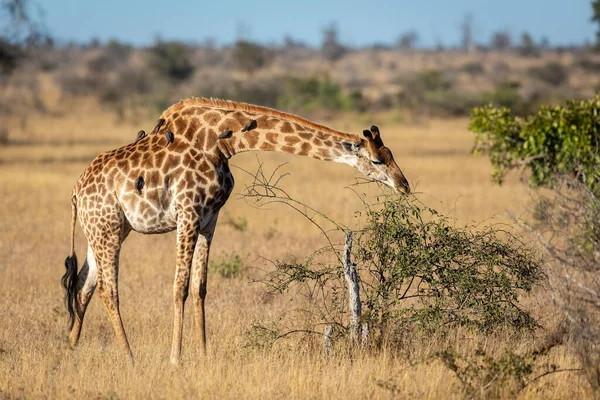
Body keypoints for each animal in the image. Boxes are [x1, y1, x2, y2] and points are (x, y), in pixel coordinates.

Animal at [62, 97, 408, 366]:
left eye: (391, 154)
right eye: (377, 160)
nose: (403, 185)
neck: (222, 143)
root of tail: (76, 192)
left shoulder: (209, 218)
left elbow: (200, 287)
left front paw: (203, 354)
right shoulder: (187, 213)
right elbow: (179, 287)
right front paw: (175, 358)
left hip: (105, 230)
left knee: (82, 287)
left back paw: (71, 349)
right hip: (107, 229)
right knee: (108, 290)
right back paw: (129, 357)